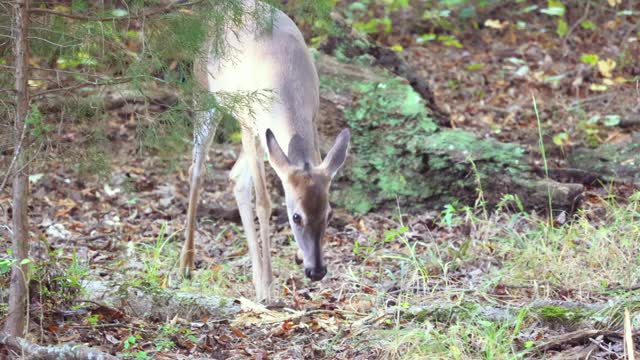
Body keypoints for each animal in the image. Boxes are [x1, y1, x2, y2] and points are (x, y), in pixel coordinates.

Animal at [179, 1, 350, 302]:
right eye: (296, 217)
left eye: (329, 213)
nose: (316, 271)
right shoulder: (248, 122)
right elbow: (264, 202)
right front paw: (268, 289)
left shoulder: (306, 122)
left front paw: (272, 276)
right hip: (205, 94)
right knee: (197, 169)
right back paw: (187, 264)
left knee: (236, 177)